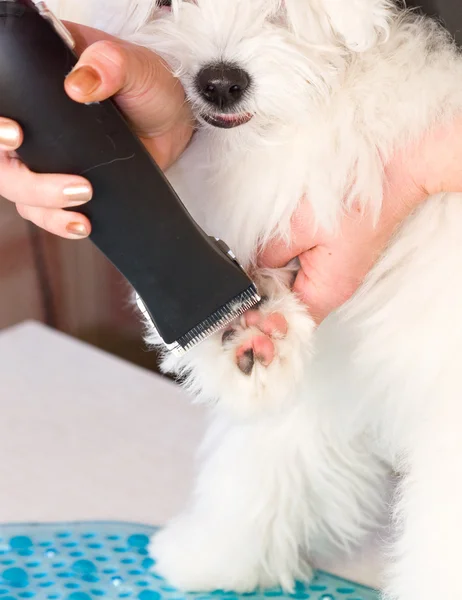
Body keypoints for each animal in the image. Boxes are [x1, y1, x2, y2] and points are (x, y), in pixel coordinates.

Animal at [48, 1, 462, 600]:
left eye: (281, 10)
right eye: (166, 5)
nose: (220, 83)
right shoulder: (326, 367)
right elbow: (262, 460)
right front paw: (212, 556)